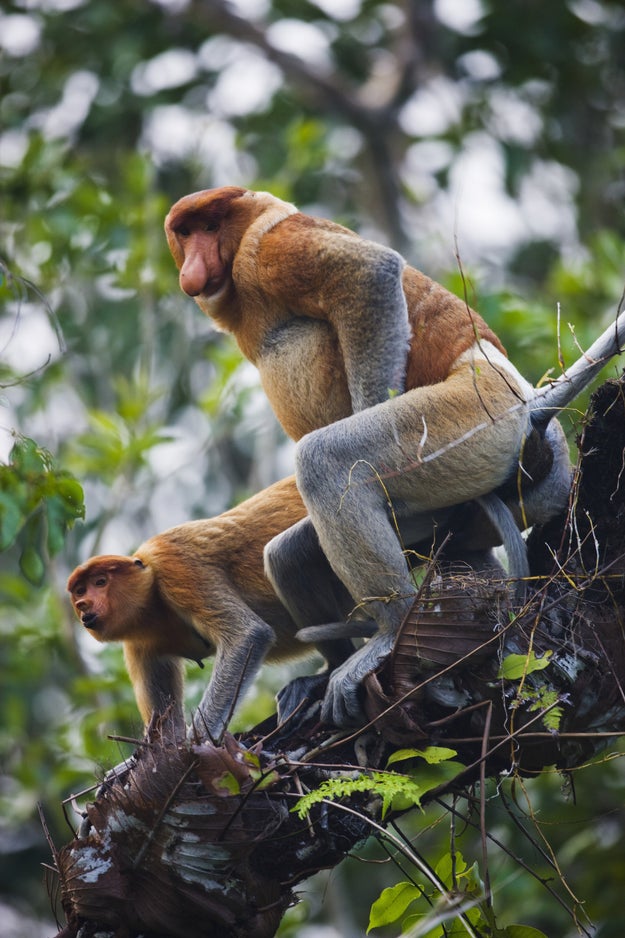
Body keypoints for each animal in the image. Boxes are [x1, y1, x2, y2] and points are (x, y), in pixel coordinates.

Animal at [67, 476, 356, 740]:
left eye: (100, 582)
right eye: (80, 590)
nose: (83, 605)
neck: (152, 599)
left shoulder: (174, 564)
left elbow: (246, 636)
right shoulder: (140, 645)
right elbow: (166, 732)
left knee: (287, 552)